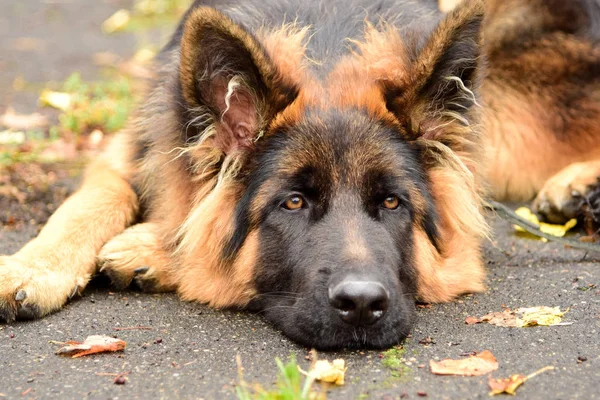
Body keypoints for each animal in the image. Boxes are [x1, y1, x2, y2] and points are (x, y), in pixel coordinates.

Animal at [1, 0, 600, 348]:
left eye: (392, 203)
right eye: (292, 202)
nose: (361, 306)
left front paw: (153, 248)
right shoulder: (134, 147)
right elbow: (89, 202)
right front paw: (29, 268)